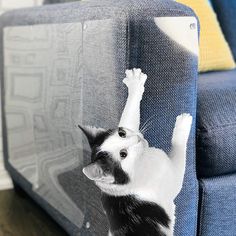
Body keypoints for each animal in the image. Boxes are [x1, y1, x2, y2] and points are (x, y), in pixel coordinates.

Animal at [79, 68, 192, 236]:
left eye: (122, 133)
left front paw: (134, 83)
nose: (138, 139)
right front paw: (183, 123)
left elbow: (128, 115)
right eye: (123, 154)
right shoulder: (173, 180)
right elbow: (178, 148)